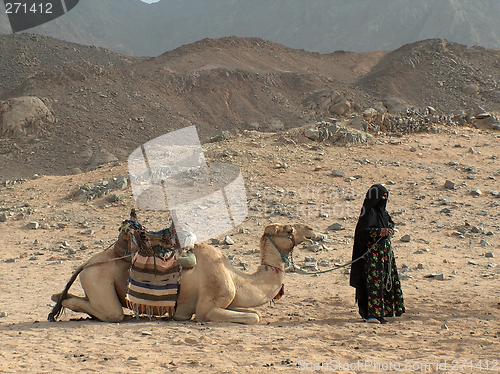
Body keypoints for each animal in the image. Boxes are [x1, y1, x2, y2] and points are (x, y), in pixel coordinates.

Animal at [49, 212, 316, 322]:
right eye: (288, 229)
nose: (312, 230)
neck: (235, 277)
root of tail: (86, 263)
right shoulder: (207, 308)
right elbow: (255, 317)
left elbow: (252, 312)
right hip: (97, 279)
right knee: (109, 312)